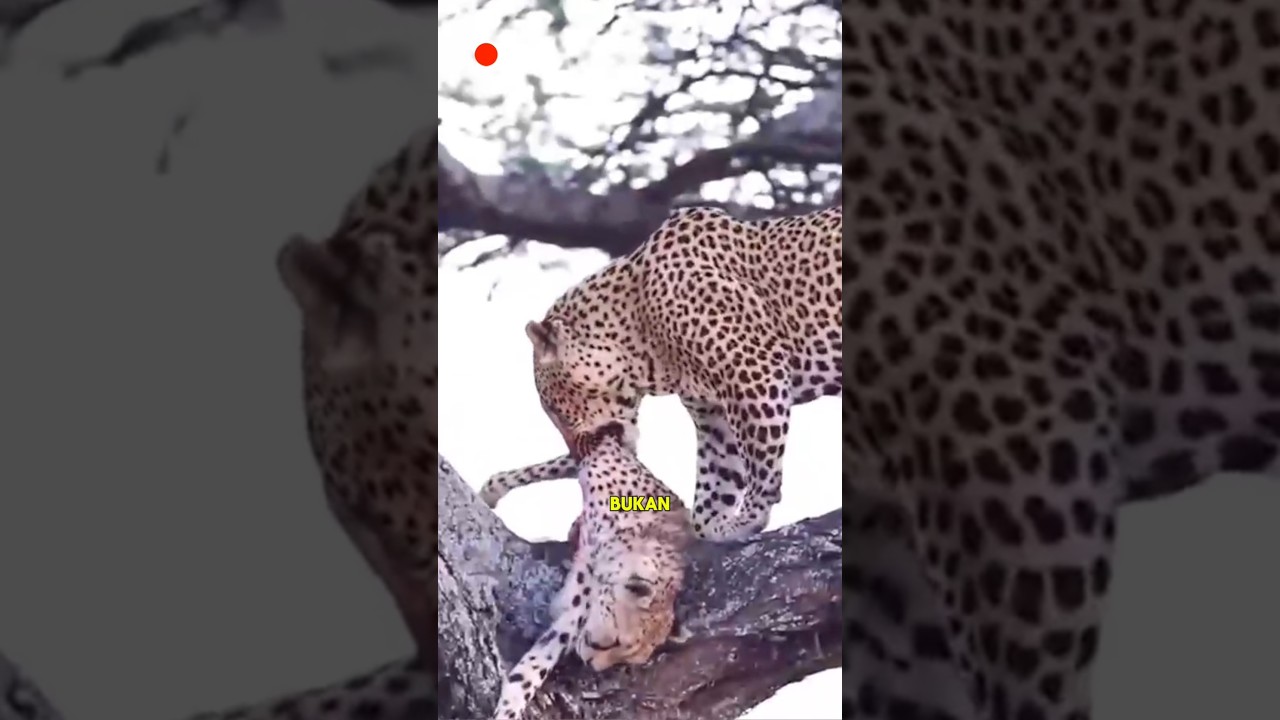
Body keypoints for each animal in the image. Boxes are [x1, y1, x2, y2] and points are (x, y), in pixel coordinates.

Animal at [481, 204, 843, 542]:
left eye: (556, 408)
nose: (577, 450)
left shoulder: (753, 371)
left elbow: (761, 461)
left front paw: (751, 516)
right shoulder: (713, 415)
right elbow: (715, 485)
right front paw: (717, 526)